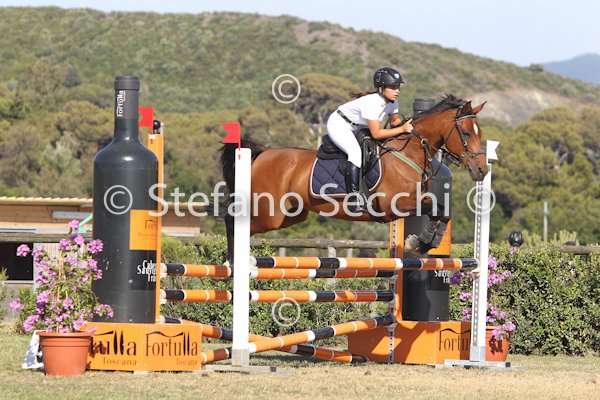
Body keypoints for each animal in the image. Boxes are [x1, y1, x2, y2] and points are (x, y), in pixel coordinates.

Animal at [220, 94, 488, 263]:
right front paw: (419, 242)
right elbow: (435, 207)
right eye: (466, 133)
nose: (482, 170)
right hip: (270, 213)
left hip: (290, 214)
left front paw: (426, 243)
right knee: (233, 220)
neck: (408, 153)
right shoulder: (395, 204)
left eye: (479, 132)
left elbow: (443, 210)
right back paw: (232, 261)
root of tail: (265, 152)